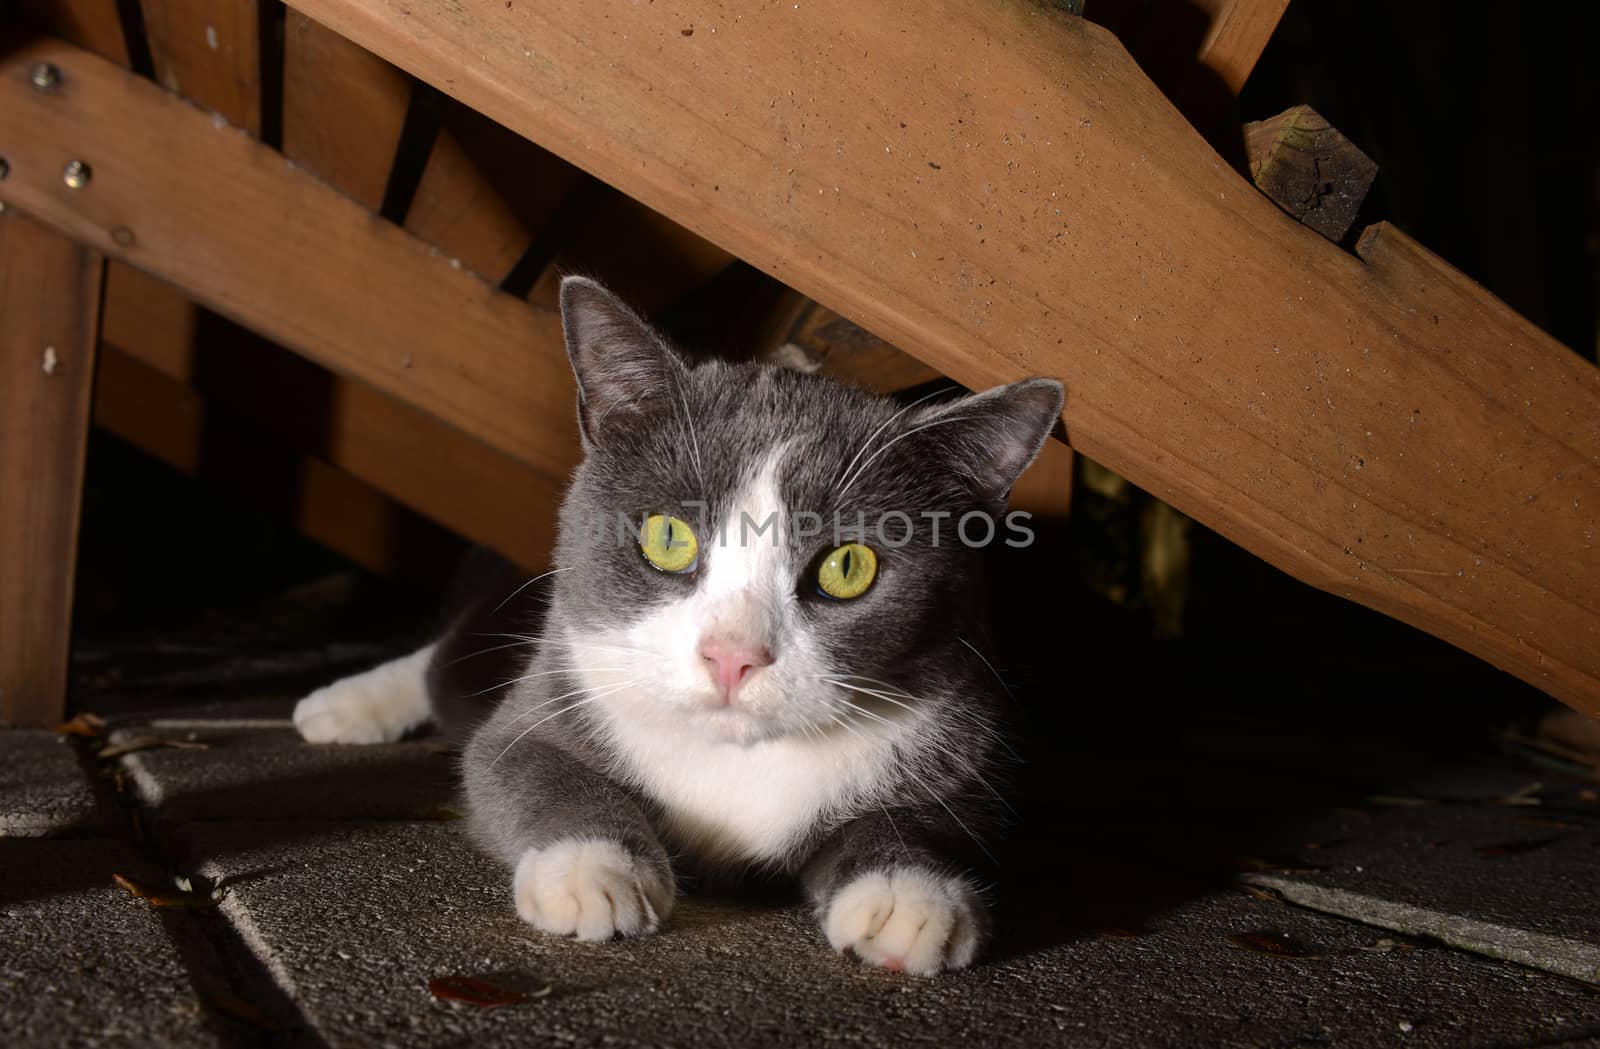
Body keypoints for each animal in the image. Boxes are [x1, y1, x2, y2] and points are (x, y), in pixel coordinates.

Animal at [291, 278, 1062, 972]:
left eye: (849, 566)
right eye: (668, 536)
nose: (733, 655)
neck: (738, 761)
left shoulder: (968, 738)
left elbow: (931, 817)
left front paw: (909, 897)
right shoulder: (548, 699)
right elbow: (528, 768)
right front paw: (593, 871)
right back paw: (338, 705)